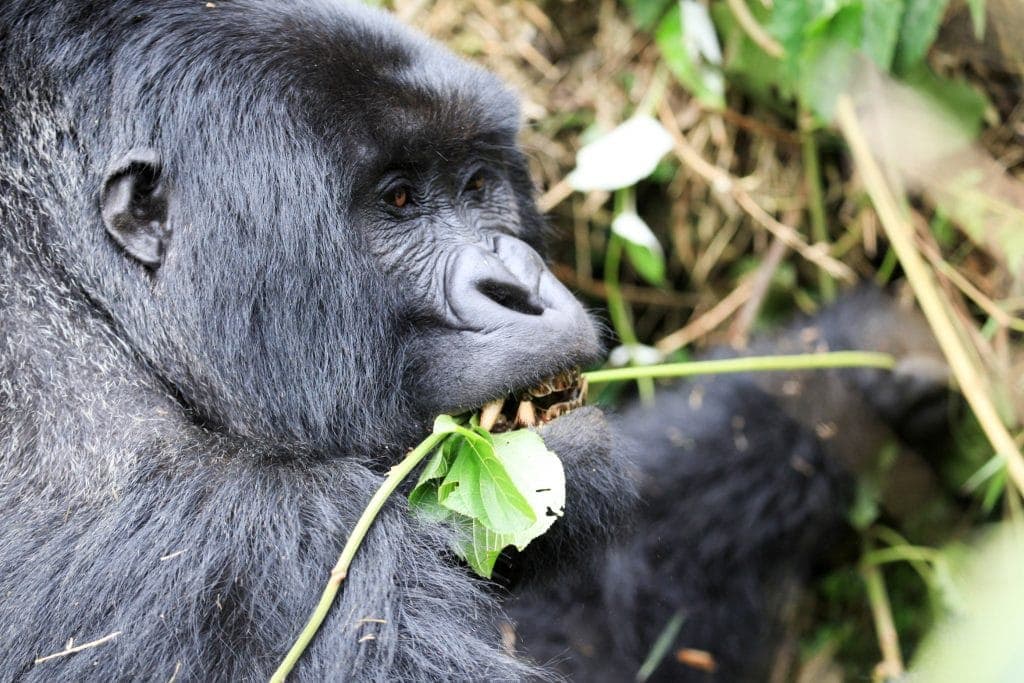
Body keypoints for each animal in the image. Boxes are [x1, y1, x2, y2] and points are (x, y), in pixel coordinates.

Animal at [0, 1, 946, 683]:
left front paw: (841, 382)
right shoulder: (241, 543)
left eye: (477, 182)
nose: (521, 286)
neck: (86, 294)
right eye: (399, 200)